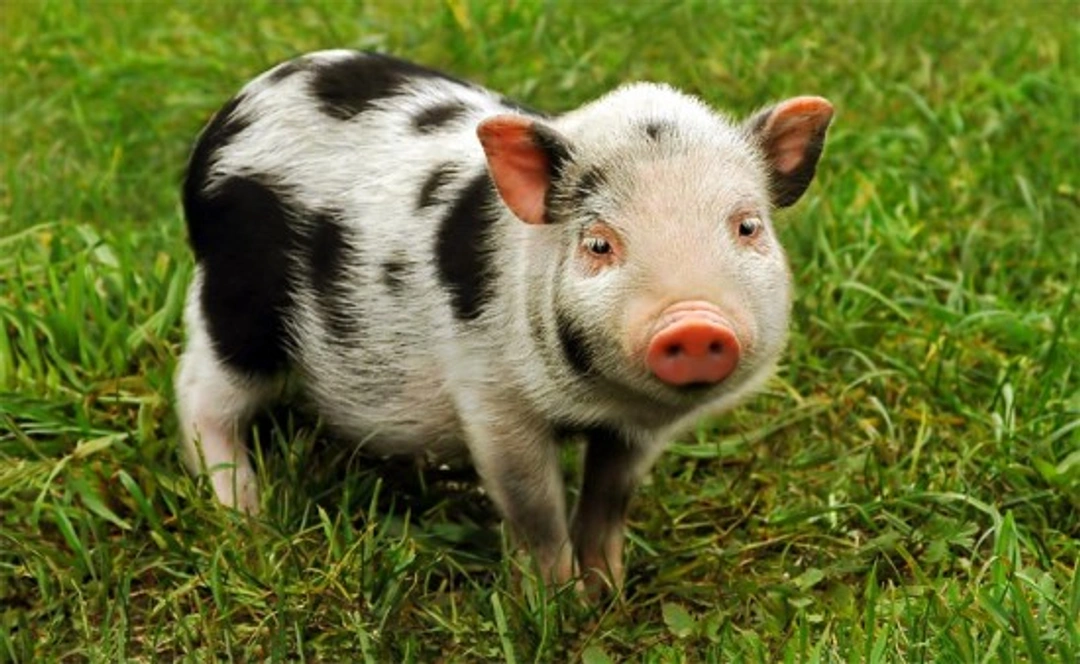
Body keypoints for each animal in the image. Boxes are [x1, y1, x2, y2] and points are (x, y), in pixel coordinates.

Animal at [175, 50, 833, 589]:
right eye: (599, 243)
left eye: (747, 226)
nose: (694, 324)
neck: (600, 400)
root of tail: (226, 121)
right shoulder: (493, 399)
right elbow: (532, 506)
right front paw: (556, 603)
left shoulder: (636, 431)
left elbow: (611, 496)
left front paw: (609, 591)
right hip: (236, 301)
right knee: (199, 393)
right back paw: (248, 519)